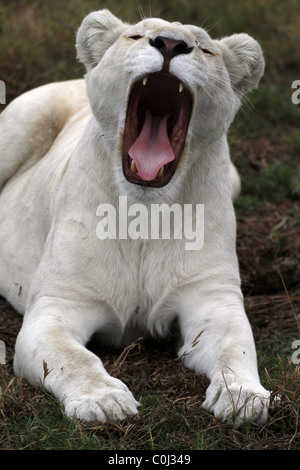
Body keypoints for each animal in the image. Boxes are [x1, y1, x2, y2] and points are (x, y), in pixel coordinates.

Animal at [0, 9, 272, 426]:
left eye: (205, 48)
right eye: (136, 36)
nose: (171, 44)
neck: (145, 213)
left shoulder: (212, 299)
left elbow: (236, 347)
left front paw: (244, 397)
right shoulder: (56, 307)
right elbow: (73, 358)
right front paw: (104, 401)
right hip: (23, 121)